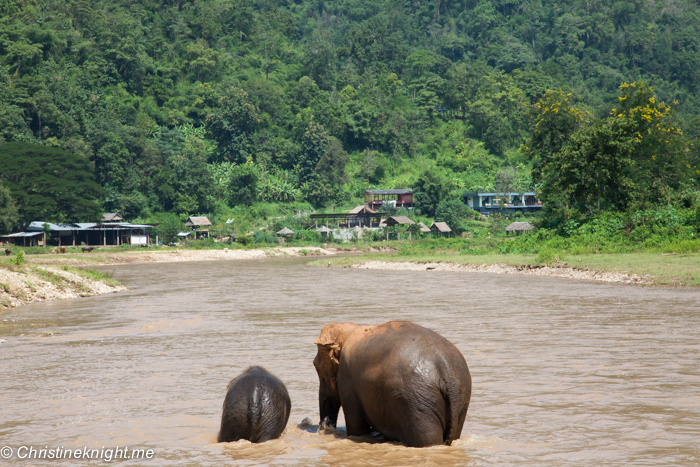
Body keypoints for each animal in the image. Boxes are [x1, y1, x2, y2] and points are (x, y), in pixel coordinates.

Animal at [314, 320, 470, 448]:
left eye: (318, 369)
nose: (324, 429)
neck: (349, 330)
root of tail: (444, 365)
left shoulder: (348, 380)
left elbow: (357, 427)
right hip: (460, 396)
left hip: (417, 400)